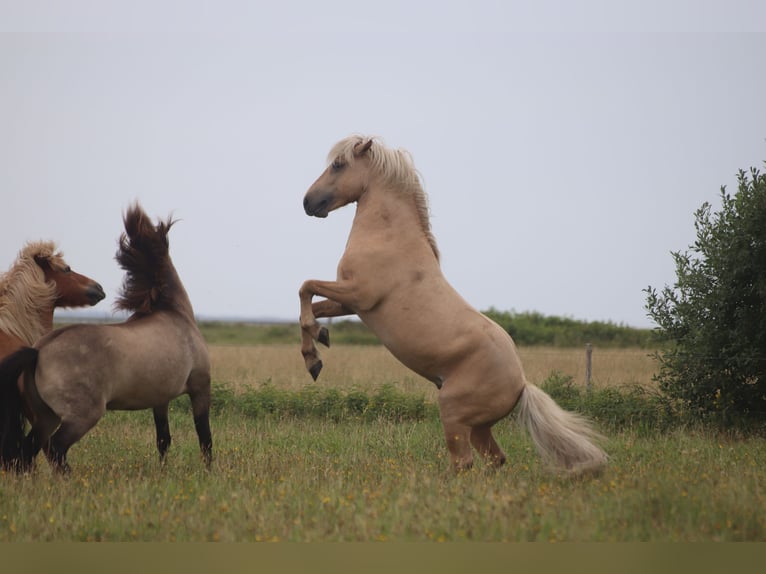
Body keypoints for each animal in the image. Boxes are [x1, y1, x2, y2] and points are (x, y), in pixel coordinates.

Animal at [0, 205, 213, 474]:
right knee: (55, 448)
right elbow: (204, 437)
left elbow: (163, 439)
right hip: (81, 417)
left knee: (28, 451)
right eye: (66, 269)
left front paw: (163, 472)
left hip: (44, 416)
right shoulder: (200, 386)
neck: (175, 313)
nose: (97, 289)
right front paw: (209, 473)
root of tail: (38, 351)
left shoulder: (160, 398)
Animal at [300, 136, 608, 476]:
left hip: (453, 413)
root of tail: (521, 385)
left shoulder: (358, 294)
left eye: (338, 164)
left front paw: (315, 352)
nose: (308, 203)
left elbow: (305, 288)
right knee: (495, 458)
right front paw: (316, 352)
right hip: (479, 427)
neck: (389, 238)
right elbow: (310, 307)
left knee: (463, 462)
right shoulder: (351, 304)